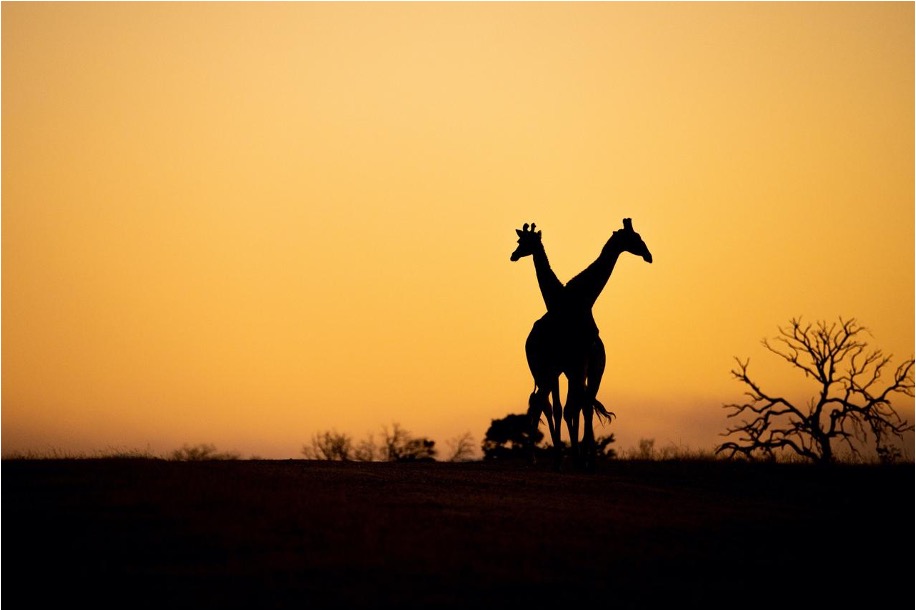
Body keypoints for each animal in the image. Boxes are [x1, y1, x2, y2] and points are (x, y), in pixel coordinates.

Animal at [511, 219, 652, 469]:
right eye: (635, 237)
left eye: (522, 241)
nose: (649, 255)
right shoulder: (572, 366)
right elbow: (571, 407)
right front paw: (576, 456)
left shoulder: (570, 367)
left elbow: (570, 407)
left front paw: (575, 455)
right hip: (558, 370)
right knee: (554, 404)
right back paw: (560, 458)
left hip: (560, 371)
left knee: (557, 404)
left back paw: (566, 458)